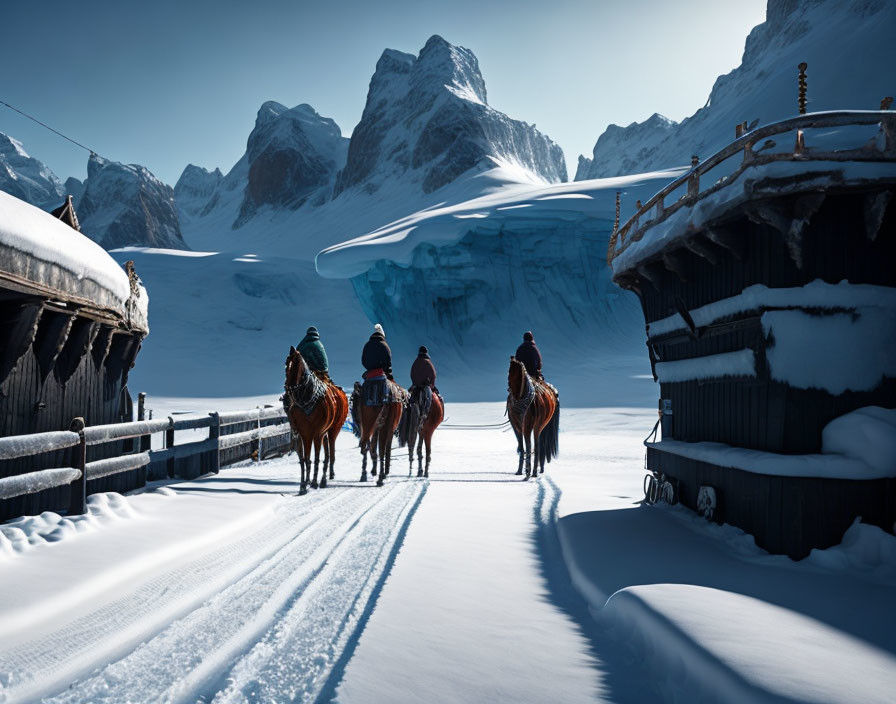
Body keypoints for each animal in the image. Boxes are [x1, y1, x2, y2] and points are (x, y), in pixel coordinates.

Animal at [284, 348, 336, 496]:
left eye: (295, 366)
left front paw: (312, 482)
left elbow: (315, 457)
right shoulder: (302, 434)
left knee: (327, 455)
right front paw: (303, 485)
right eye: (286, 365)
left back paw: (321, 480)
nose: (287, 389)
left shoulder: (316, 433)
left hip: (326, 433)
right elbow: (304, 460)